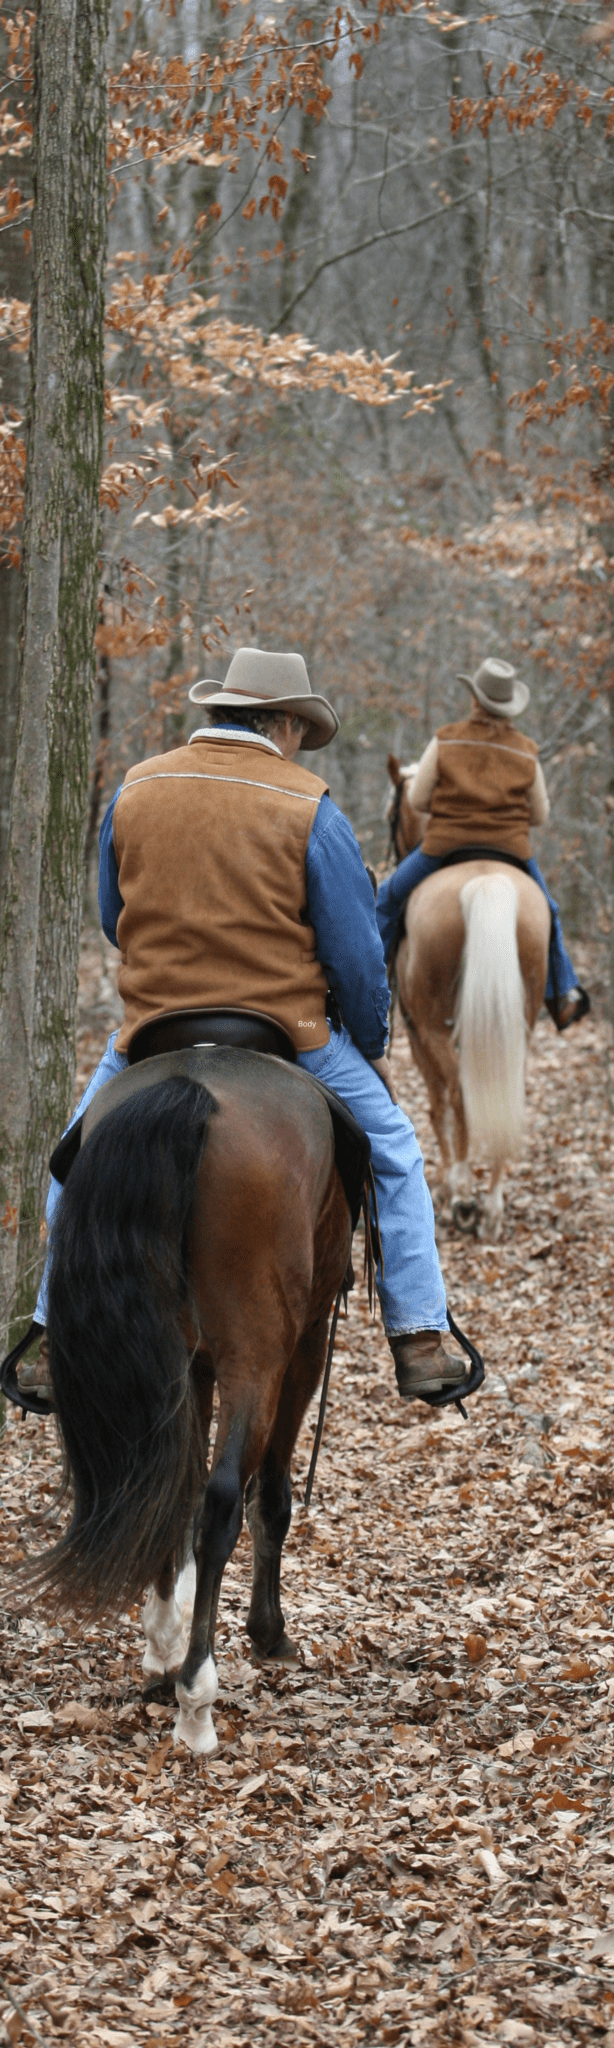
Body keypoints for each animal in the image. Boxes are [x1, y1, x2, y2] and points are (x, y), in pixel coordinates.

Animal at [32, 1056, 349, 1761]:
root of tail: (193, 1086)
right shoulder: (304, 1344)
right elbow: (269, 1497)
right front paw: (267, 1633)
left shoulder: (192, 1364)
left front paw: (161, 1643)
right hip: (258, 1353)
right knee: (223, 1500)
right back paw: (197, 1700)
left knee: (166, 1483)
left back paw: (167, 1661)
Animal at [386, 753, 548, 1228]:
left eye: (391, 815)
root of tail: (486, 882)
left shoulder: (416, 1032)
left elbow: (437, 1104)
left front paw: (446, 1184)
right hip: (519, 1023)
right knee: (506, 1095)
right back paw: (492, 1201)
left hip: (433, 1027)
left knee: (458, 1094)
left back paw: (460, 1190)